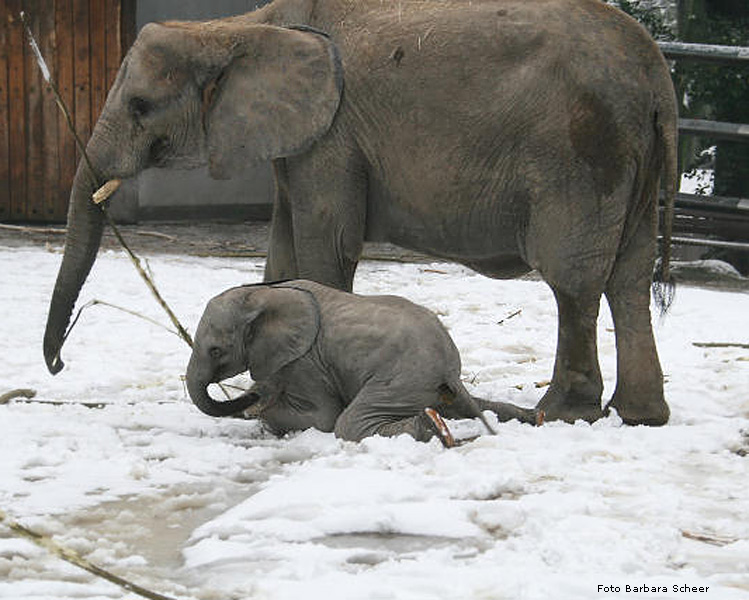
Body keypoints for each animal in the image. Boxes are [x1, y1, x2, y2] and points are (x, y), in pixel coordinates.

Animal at [186, 278, 536, 442]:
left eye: (215, 350)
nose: (251, 397)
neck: (265, 293)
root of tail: (449, 364)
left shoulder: (305, 362)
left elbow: (323, 419)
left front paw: (259, 412)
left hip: (400, 380)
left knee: (349, 423)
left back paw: (433, 426)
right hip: (429, 386)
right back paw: (534, 416)